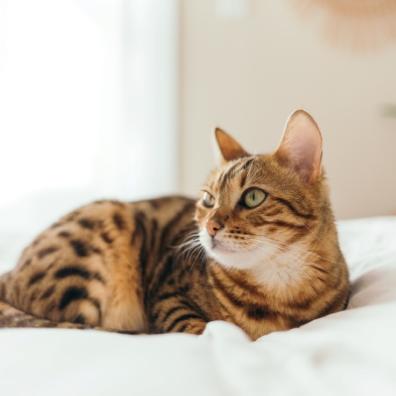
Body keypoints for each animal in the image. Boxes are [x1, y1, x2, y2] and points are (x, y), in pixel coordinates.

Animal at [0, 109, 348, 340]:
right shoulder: (168, 297)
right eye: (208, 199)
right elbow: (203, 327)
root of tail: (11, 271)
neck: (281, 288)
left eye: (252, 197)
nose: (210, 227)